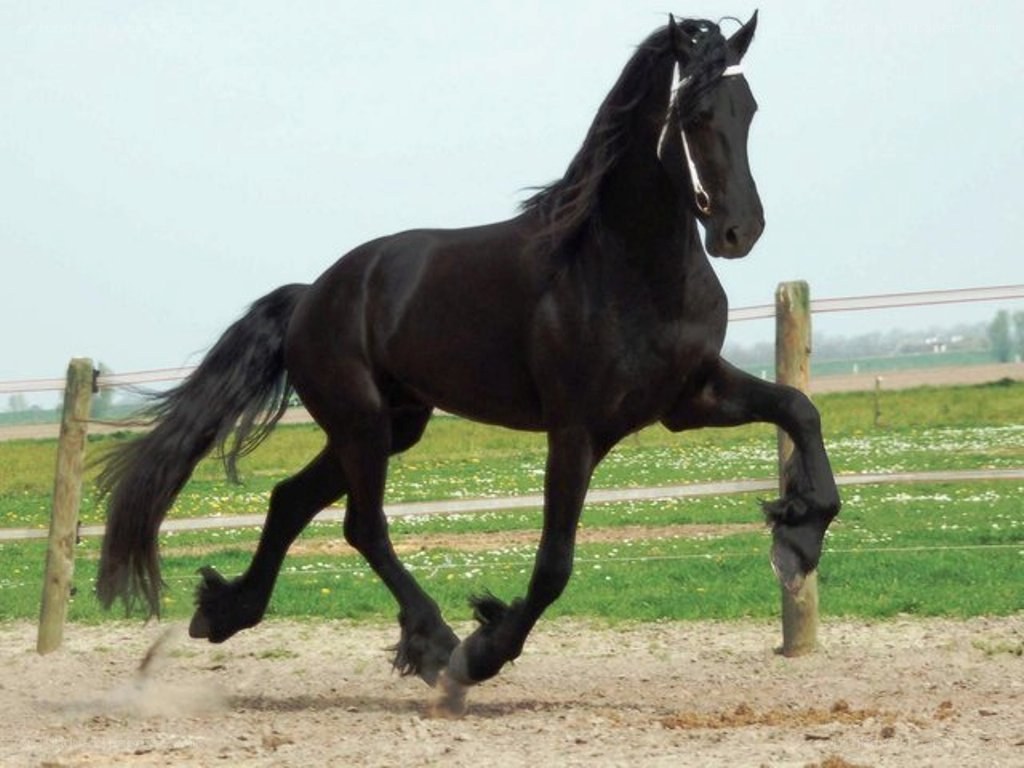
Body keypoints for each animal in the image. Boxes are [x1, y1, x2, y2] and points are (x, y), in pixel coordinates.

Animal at [96, 12, 840, 709]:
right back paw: (434, 644)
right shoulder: (577, 430)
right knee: (362, 525)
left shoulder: (688, 398)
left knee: (290, 500)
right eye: (694, 113)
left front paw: (797, 538)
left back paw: (226, 613)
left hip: (394, 424)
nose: (740, 230)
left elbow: (799, 410)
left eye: (749, 109)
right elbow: (554, 565)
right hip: (362, 423)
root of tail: (314, 294)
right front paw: (483, 651)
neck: (625, 265)